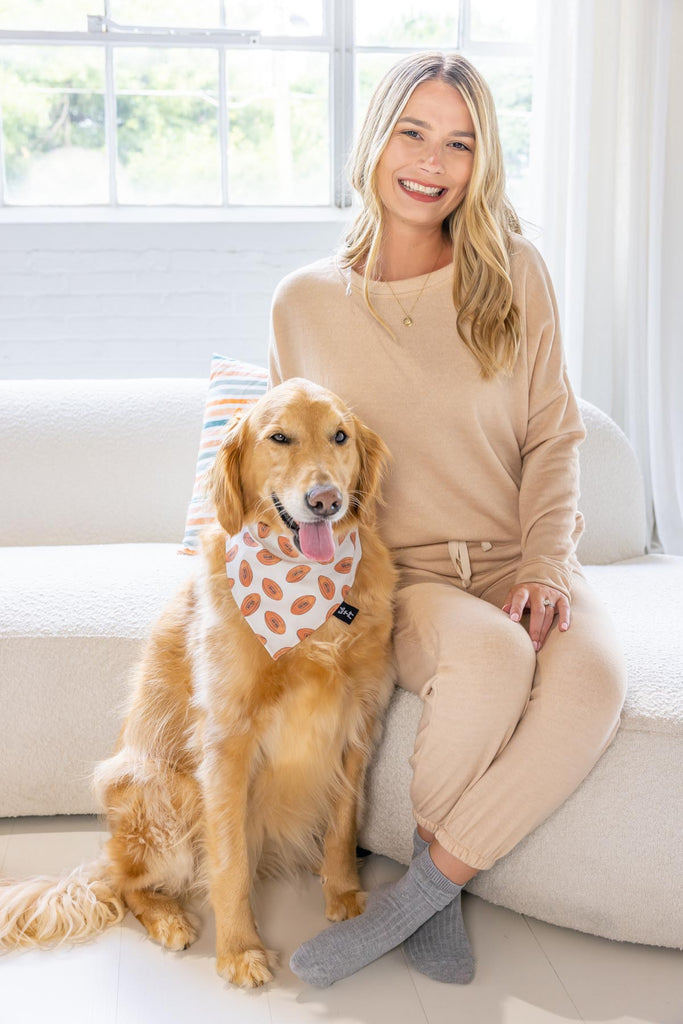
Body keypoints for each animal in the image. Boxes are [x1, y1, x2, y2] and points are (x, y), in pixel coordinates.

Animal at [0, 378, 396, 988]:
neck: (307, 601)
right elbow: (229, 861)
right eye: (279, 437)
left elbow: (343, 822)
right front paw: (239, 951)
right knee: (126, 885)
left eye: (340, 437)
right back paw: (168, 918)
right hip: (164, 793)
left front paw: (345, 893)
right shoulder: (226, 741)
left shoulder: (360, 721)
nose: (325, 500)